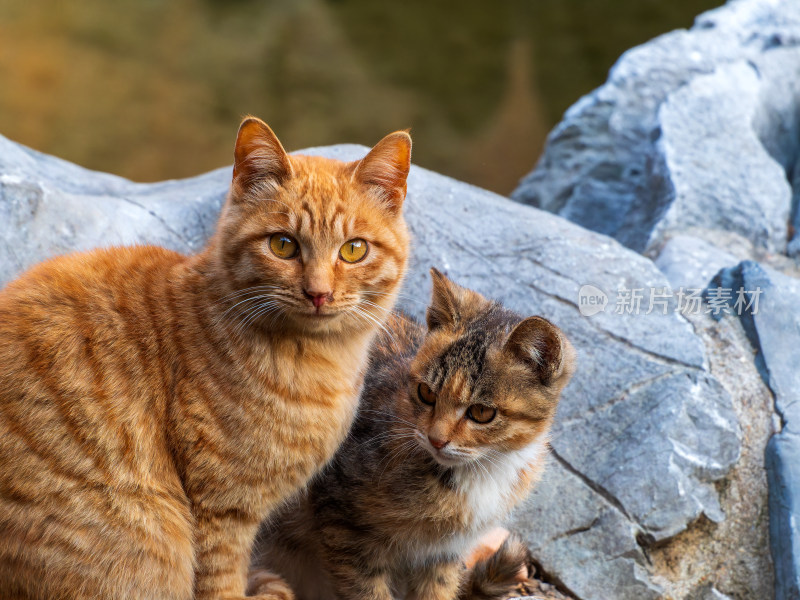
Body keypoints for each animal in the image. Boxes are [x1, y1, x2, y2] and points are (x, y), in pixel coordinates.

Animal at [0, 117, 412, 600]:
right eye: (283, 245)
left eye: (353, 249)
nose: (319, 293)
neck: (318, 362)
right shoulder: (222, 510)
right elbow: (222, 583)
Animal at [250, 270, 576, 600]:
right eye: (426, 393)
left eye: (482, 412)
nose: (436, 439)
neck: (485, 468)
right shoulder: (342, 525)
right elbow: (369, 592)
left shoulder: (443, 553)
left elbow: (437, 590)